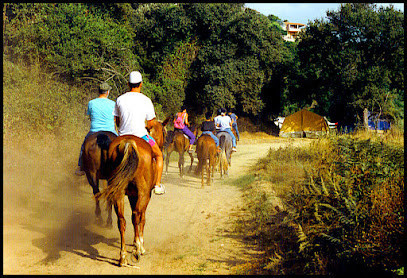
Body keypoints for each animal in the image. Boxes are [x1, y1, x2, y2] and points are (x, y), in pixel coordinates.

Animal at [96, 135, 157, 268]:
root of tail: (128, 143)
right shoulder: (145, 196)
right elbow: (142, 219)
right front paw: (140, 245)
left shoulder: (132, 196)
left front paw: (135, 241)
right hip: (142, 193)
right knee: (136, 216)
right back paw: (137, 250)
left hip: (118, 192)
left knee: (122, 221)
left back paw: (122, 257)